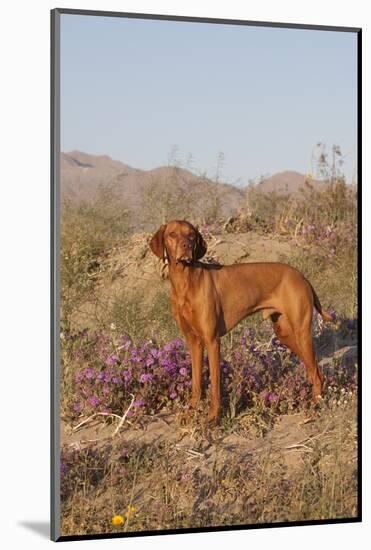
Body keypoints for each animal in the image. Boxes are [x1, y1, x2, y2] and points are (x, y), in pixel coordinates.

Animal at [150, 220, 332, 422]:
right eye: (172, 234)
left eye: (191, 235)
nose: (186, 246)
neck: (186, 282)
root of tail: (301, 276)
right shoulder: (194, 341)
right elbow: (196, 381)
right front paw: (191, 410)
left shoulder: (212, 340)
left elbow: (215, 383)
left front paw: (213, 417)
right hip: (285, 334)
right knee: (314, 370)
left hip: (300, 332)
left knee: (316, 373)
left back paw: (315, 407)